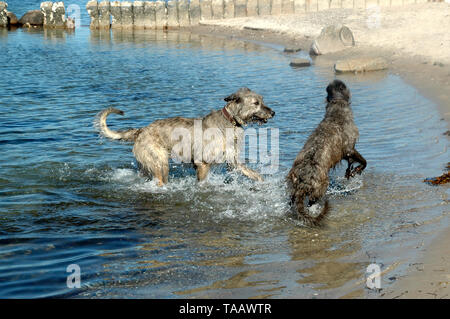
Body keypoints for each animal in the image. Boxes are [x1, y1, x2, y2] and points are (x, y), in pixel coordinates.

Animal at [97, 88, 276, 188]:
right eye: (256, 103)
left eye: (262, 100)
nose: (273, 112)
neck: (229, 122)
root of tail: (140, 131)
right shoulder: (202, 163)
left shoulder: (233, 162)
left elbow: (252, 173)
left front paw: (264, 183)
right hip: (159, 162)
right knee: (161, 179)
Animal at [286, 79, 368, 225]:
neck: (336, 113)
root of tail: (302, 181)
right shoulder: (349, 149)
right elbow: (363, 160)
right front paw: (356, 170)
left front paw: (350, 171)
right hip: (321, 185)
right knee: (312, 202)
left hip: (293, 186)